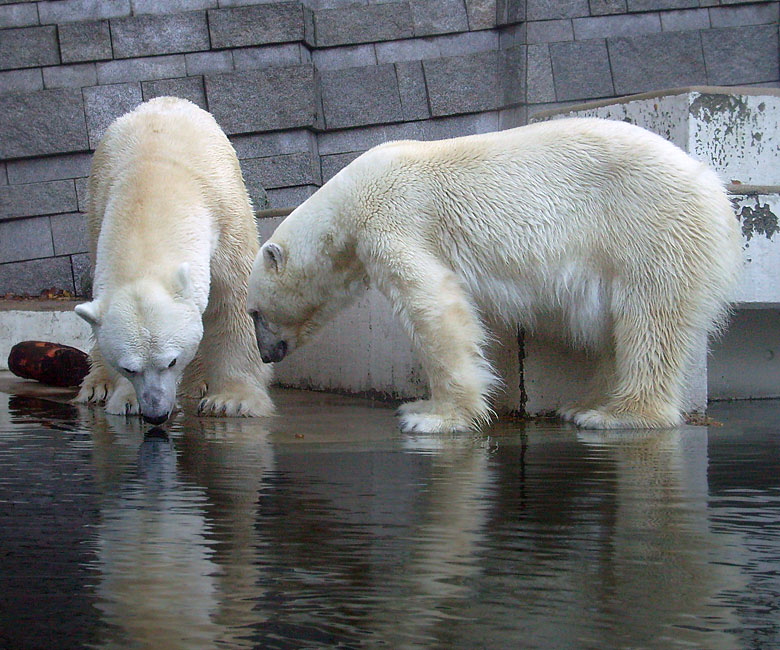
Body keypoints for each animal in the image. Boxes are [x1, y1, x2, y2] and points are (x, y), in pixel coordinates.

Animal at [74, 93, 274, 422]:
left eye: (171, 361)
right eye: (128, 368)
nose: (155, 413)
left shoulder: (223, 215)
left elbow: (233, 298)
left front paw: (232, 400)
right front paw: (126, 401)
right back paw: (96, 386)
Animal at [250, 117, 744, 430]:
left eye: (254, 312)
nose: (265, 354)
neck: (349, 200)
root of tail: (716, 191)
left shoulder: (395, 219)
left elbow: (434, 306)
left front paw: (430, 414)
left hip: (651, 227)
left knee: (650, 319)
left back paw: (615, 414)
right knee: (614, 327)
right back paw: (583, 402)